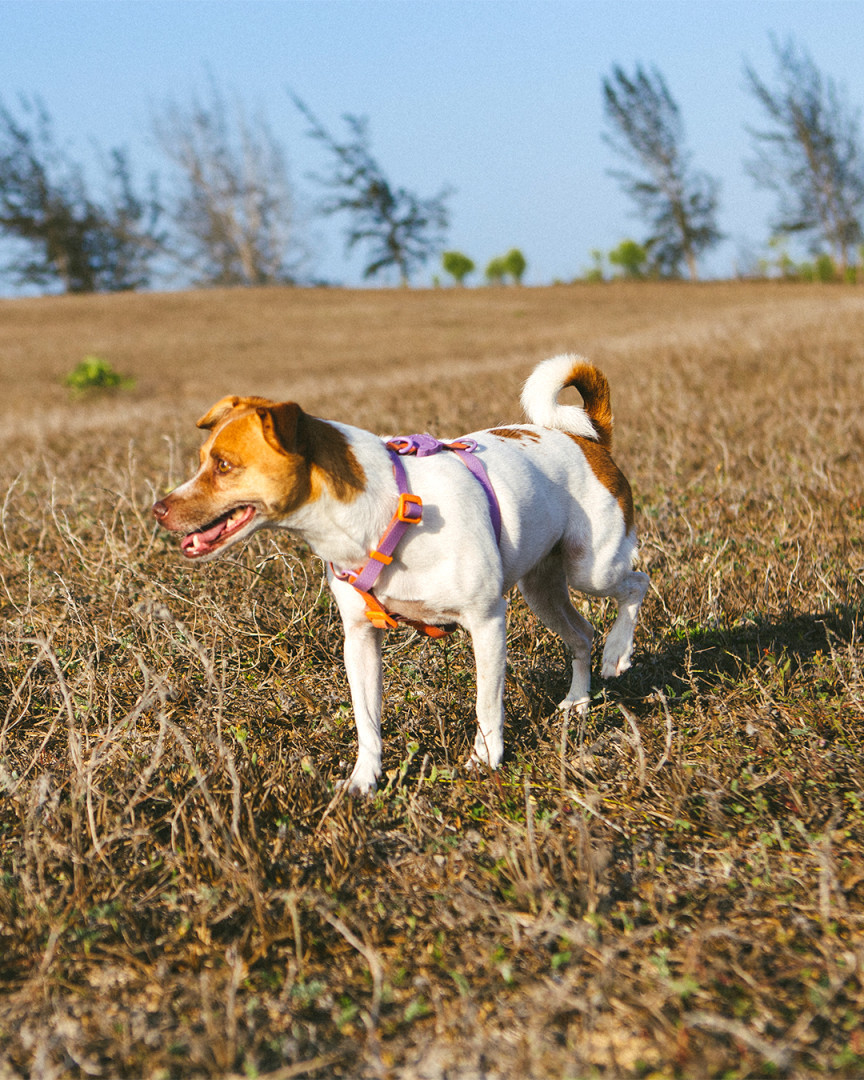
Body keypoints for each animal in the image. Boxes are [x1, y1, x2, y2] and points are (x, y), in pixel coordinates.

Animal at [152, 354, 648, 794]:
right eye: (203, 459)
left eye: (223, 465)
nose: (158, 509)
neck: (389, 511)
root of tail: (588, 440)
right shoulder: (360, 637)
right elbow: (367, 721)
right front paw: (364, 779)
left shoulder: (487, 622)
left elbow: (486, 703)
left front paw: (485, 760)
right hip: (541, 589)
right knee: (581, 634)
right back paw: (578, 702)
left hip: (591, 567)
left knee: (635, 584)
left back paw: (617, 652)